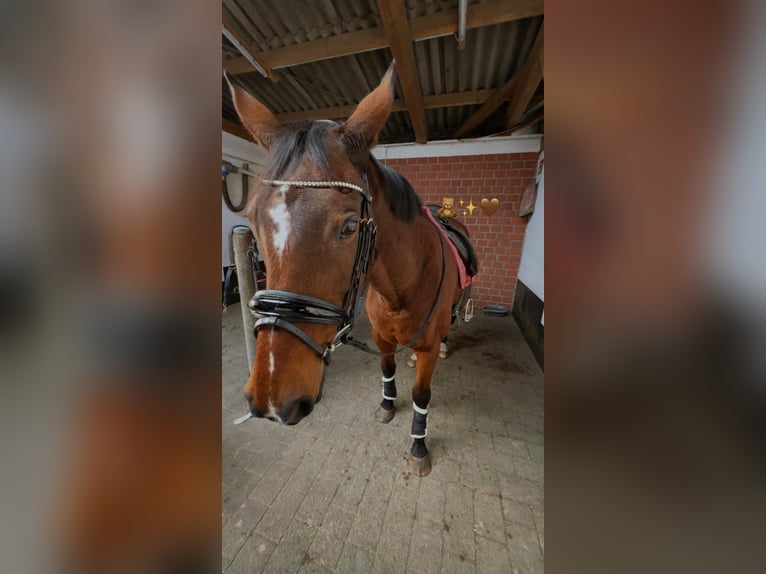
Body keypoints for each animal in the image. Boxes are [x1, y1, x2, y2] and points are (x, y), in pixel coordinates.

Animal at [228, 62, 470, 476]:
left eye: (349, 227)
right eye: (253, 220)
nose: (273, 399)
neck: (400, 289)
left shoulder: (423, 349)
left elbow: (421, 394)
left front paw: (418, 445)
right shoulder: (382, 338)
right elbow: (387, 370)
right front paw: (387, 406)